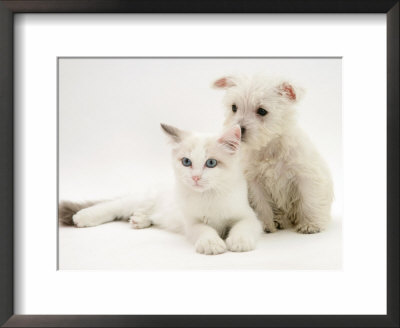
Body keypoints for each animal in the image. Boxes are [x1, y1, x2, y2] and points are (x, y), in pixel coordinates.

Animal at [59, 124, 262, 255]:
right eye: (186, 162)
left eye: (211, 163)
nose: (195, 177)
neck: (209, 195)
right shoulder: (191, 222)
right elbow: (204, 229)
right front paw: (211, 243)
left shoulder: (248, 215)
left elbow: (243, 226)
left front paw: (239, 241)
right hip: (142, 198)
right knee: (115, 205)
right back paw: (84, 217)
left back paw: (139, 219)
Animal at [214, 74, 332, 233]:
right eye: (234, 107)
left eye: (262, 111)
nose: (238, 129)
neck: (269, 146)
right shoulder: (254, 182)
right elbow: (260, 204)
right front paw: (264, 224)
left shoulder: (305, 176)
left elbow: (309, 199)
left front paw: (310, 224)